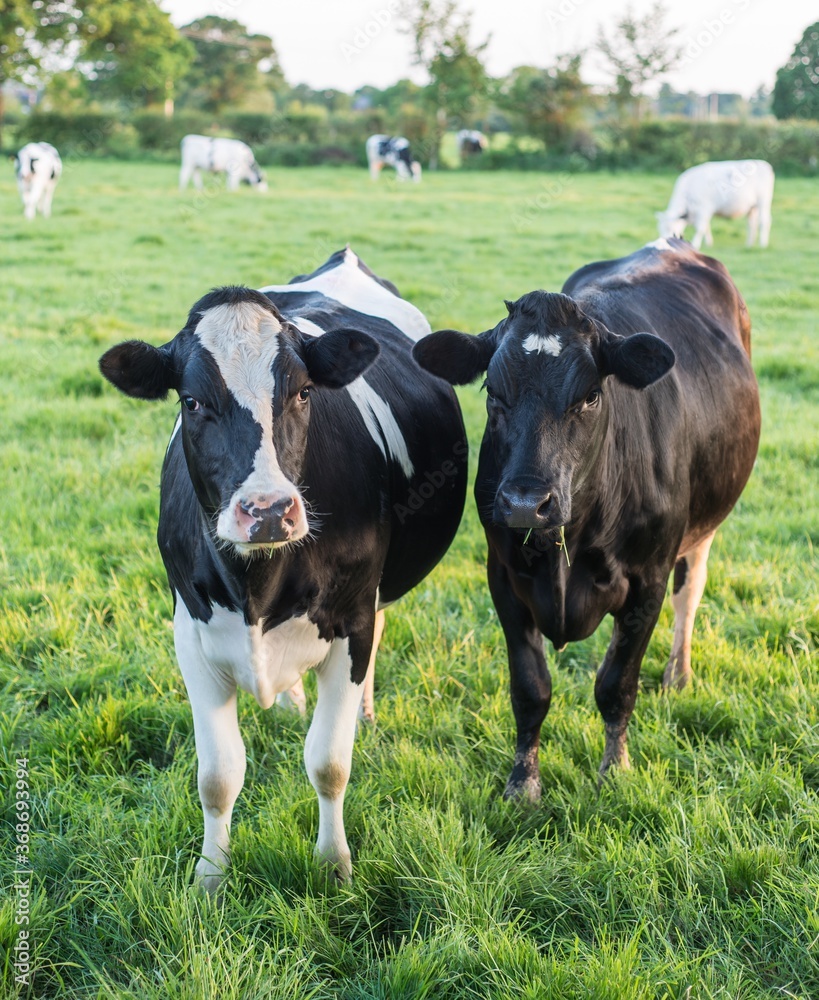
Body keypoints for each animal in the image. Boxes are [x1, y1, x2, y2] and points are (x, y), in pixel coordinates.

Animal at [99, 247, 467, 892]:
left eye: (301, 393)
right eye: (191, 402)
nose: (268, 510)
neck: (256, 587)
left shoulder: (351, 623)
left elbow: (329, 763)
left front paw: (334, 865)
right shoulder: (190, 635)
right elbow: (218, 775)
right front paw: (211, 876)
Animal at [413, 239, 760, 800]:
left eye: (591, 396)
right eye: (493, 393)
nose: (525, 502)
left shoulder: (647, 584)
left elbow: (616, 684)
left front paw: (614, 769)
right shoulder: (503, 579)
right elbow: (530, 690)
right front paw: (523, 783)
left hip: (706, 524)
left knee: (692, 589)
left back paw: (678, 675)